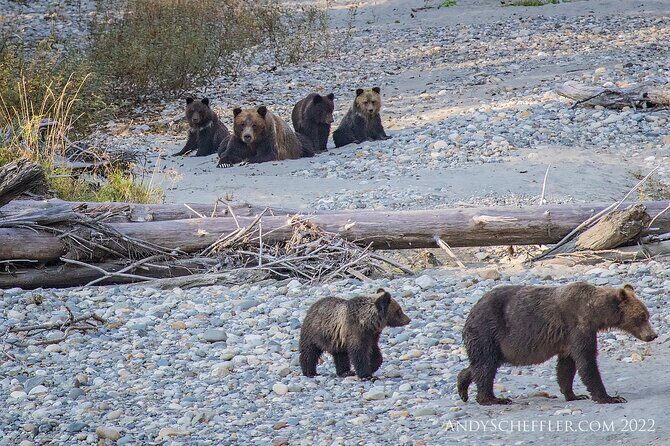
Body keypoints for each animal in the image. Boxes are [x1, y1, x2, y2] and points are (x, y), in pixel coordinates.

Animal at [457, 282, 657, 406]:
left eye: (647, 315)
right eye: (641, 317)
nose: (653, 335)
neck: (594, 312)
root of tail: (471, 312)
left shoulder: (567, 339)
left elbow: (566, 366)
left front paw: (574, 395)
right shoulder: (578, 326)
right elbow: (587, 362)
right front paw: (609, 397)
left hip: (494, 342)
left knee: (481, 364)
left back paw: (463, 388)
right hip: (488, 331)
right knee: (486, 365)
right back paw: (493, 399)